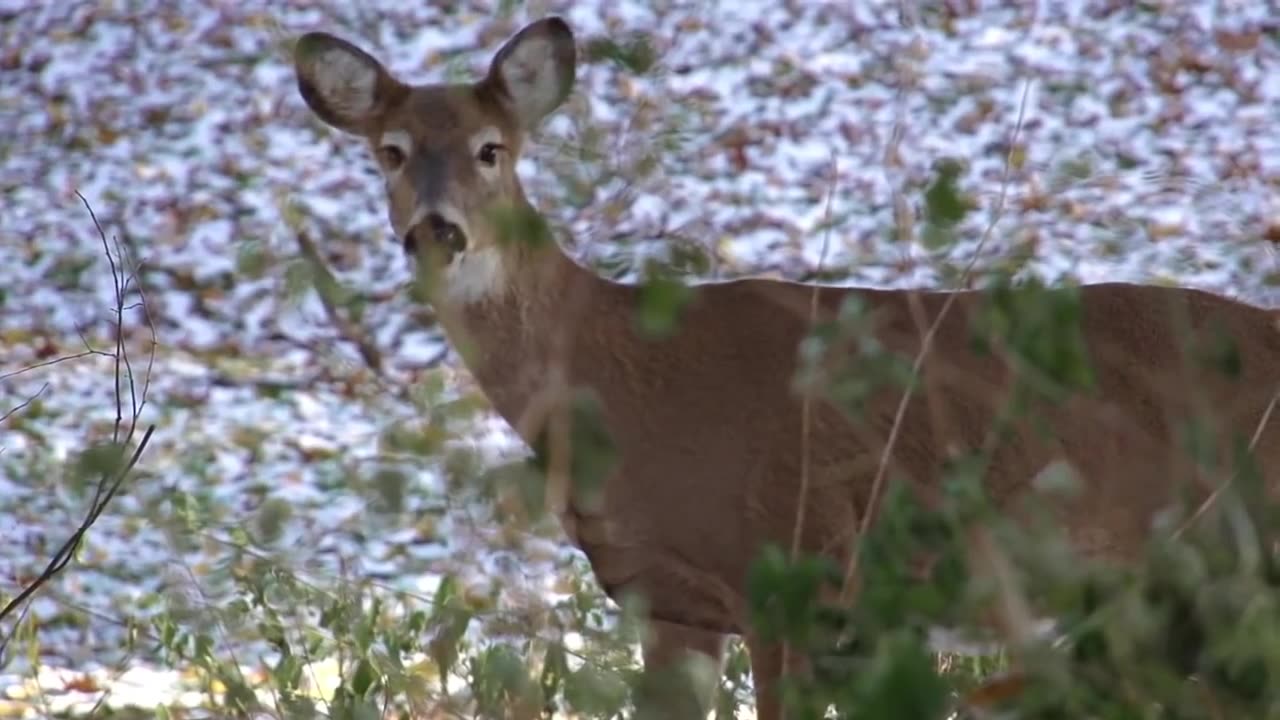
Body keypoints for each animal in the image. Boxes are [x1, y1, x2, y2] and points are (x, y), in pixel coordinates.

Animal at [294, 16, 1280, 717]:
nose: (437, 230)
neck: (622, 378)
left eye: (491, 150)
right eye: (389, 152)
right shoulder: (670, 602)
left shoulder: (792, 567)